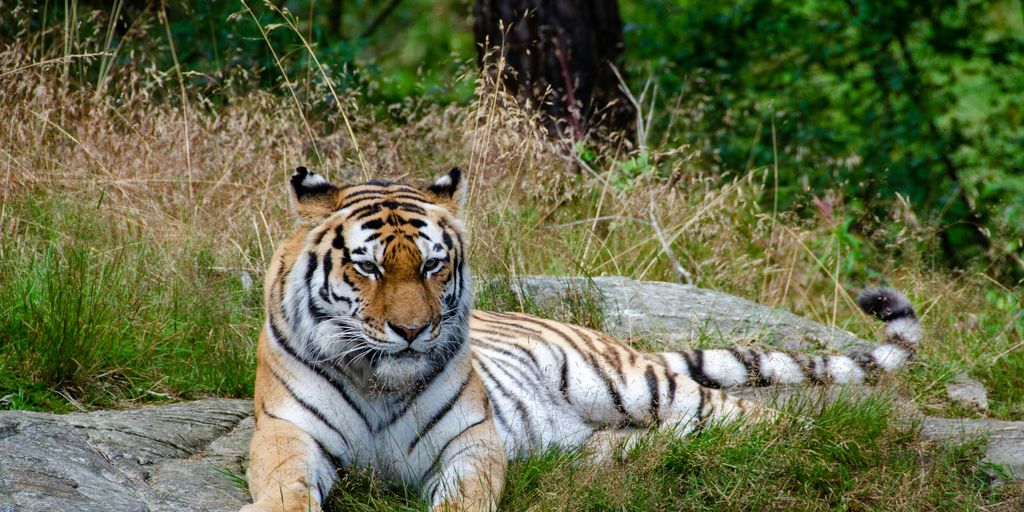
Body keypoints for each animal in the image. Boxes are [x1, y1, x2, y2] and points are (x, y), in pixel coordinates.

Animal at [242, 166, 923, 512]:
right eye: (369, 267)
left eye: (433, 266)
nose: (412, 331)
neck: (381, 381)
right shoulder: (286, 433)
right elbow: (286, 492)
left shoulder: (470, 443)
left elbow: (463, 498)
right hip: (602, 442)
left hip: (634, 385)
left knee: (763, 418)